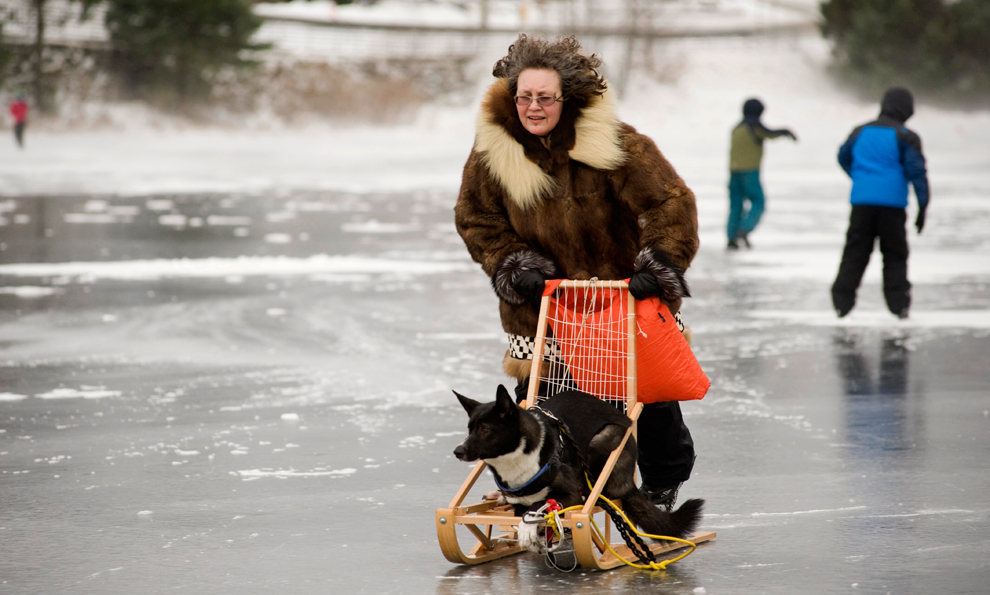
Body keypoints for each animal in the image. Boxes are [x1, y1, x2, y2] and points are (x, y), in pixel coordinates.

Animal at [454, 386, 700, 548]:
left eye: (485, 429)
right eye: (469, 428)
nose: (458, 451)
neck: (518, 456)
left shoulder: (569, 495)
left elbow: (538, 505)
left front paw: (526, 527)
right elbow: (523, 507)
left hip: (605, 438)